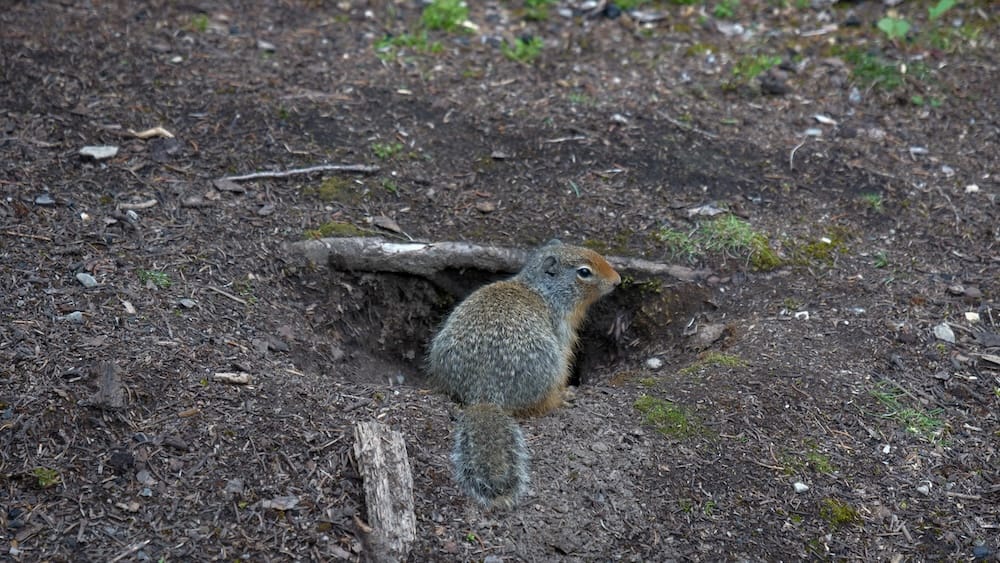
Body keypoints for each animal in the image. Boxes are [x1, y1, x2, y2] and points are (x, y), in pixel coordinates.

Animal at [427, 240, 621, 509]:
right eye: (584, 272)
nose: (618, 281)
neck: (543, 291)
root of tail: (484, 393)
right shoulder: (562, 333)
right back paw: (562, 398)